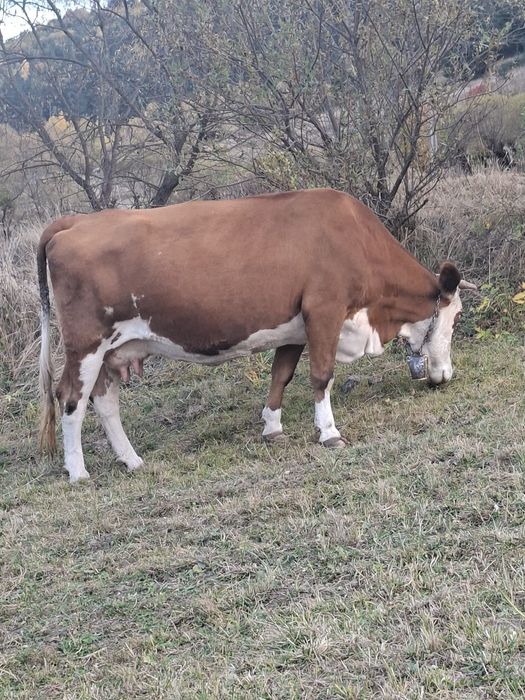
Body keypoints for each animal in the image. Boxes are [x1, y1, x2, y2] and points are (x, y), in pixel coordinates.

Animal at [37, 188, 476, 482]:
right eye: (455, 318)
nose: (445, 375)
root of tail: (77, 221)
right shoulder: (325, 311)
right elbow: (322, 375)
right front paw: (329, 433)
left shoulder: (294, 325)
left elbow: (281, 375)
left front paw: (272, 428)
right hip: (85, 345)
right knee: (71, 399)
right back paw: (78, 471)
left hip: (112, 351)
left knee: (104, 402)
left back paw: (132, 460)